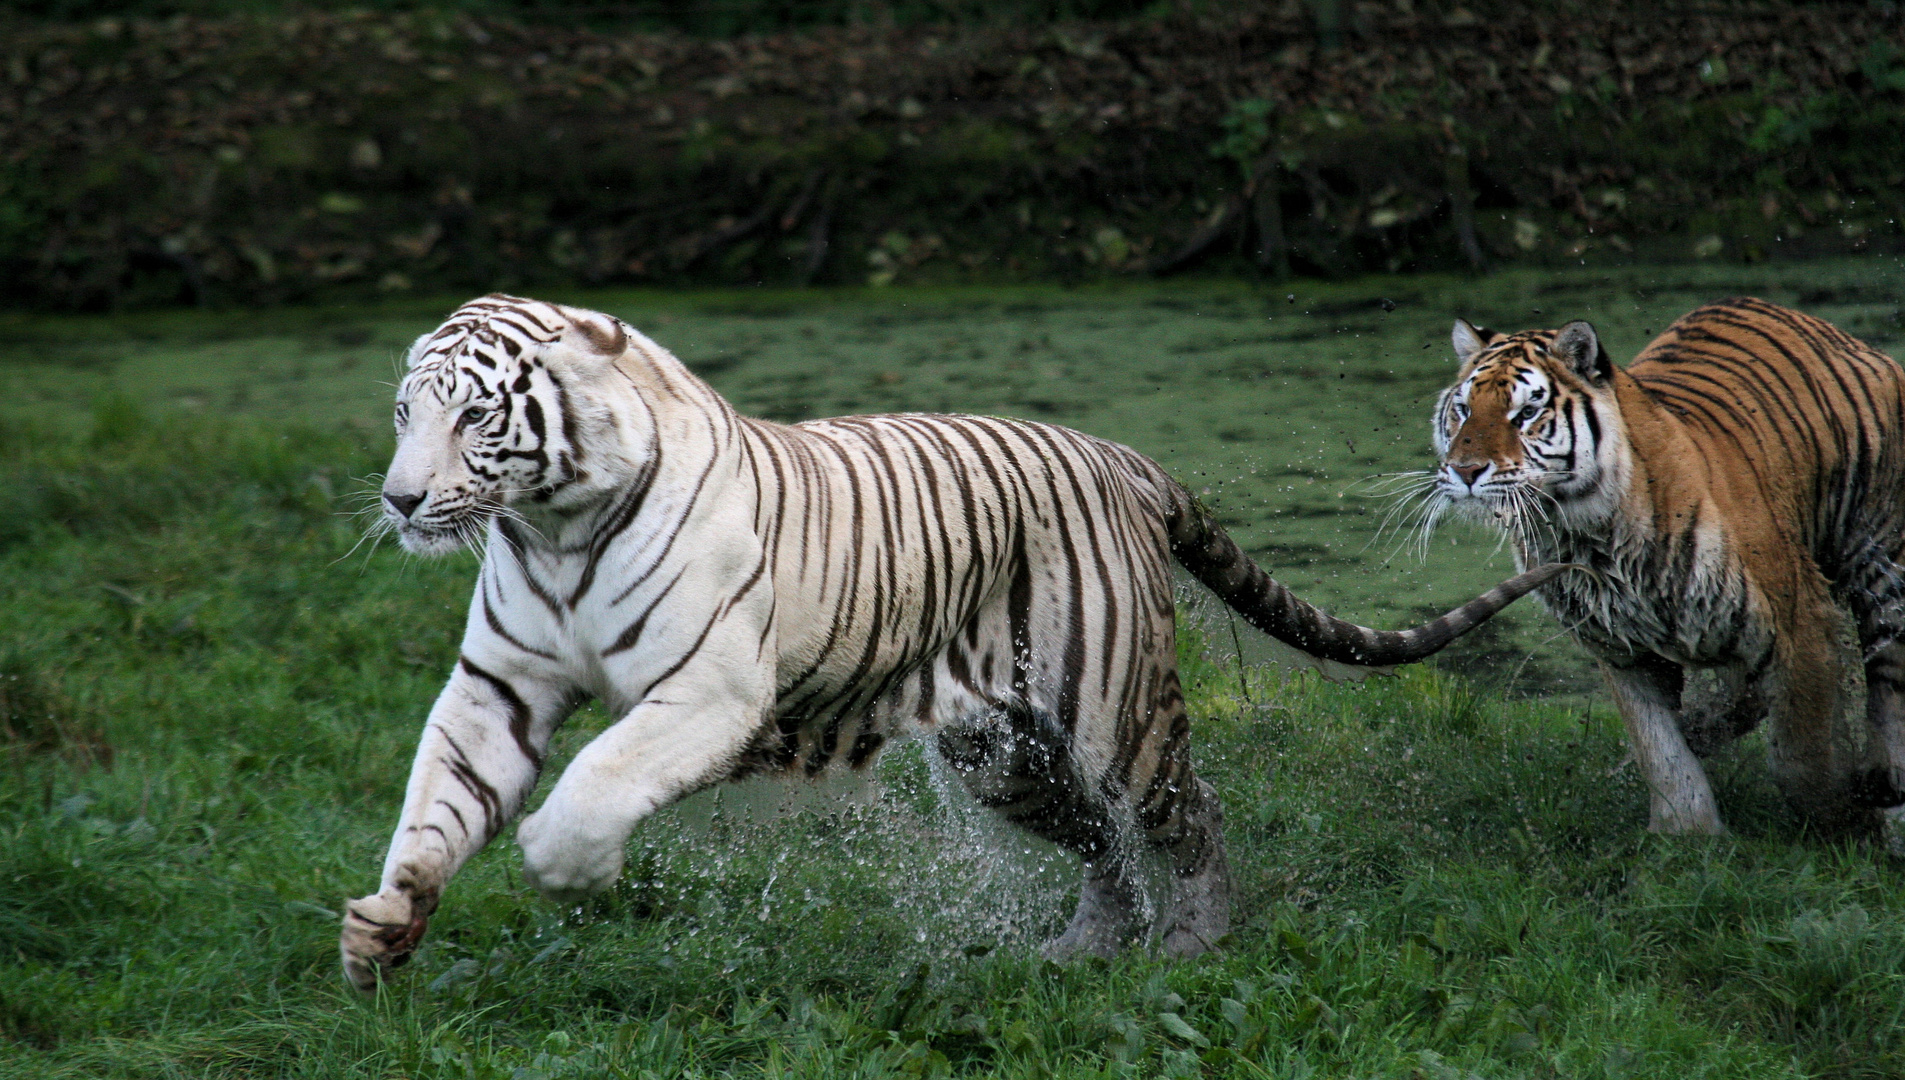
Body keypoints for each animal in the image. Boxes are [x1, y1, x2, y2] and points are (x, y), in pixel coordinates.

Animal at [342, 293, 1562, 990]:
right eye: (404, 413)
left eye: (473, 415)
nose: (400, 501)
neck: (553, 525)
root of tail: (1122, 454)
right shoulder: (497, 685)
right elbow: (438, 800)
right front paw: (383, 927)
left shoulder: (709, 692)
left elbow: (597, 776)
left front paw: (566, 864)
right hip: (1003, 757)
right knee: (1099, 841)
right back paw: (1084, 950)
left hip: (1114, 716)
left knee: (1187, 814)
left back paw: (1194, 944)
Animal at [1432, 297, 1905, 845]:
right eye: (1464, 409)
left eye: (1526, 412)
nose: (1465, 470)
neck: (1583, 534)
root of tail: (1838, 335)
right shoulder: (1620, 651)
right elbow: (1660, 750)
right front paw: (1687, 833)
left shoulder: (1801, 624)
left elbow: (1800, 754)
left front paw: (1846, 821)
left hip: (1883, 559)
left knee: (1890, 673)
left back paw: (1887, 780)